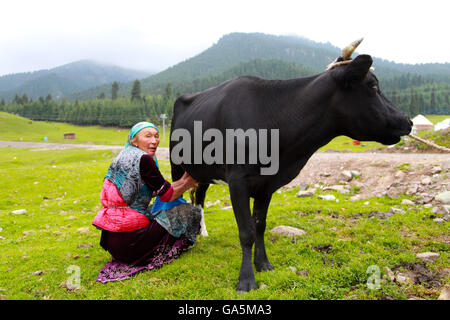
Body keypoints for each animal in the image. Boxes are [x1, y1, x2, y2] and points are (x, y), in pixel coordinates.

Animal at [168, 41, 412, 292]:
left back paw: (203, 232)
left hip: (202, 171)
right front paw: (246, 280)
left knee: (199, 197)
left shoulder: (266, 185)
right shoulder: (238, 181)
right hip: (177, 164)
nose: (408, 120)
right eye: (373, 86)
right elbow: (246, 232)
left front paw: (263, 264)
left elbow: (259, 226)